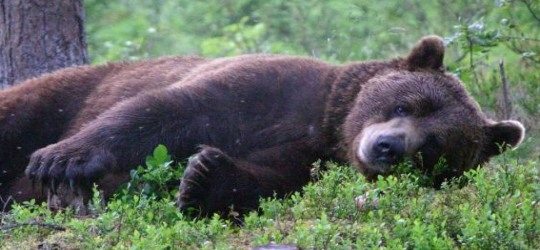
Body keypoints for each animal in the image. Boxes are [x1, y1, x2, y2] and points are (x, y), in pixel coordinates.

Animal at [0, 34, 524, 215]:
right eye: (405, 104)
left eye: (433, 149)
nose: (388, 148)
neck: (329, 124)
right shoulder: (271, 91)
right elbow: (169, 109)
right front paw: (62, 160)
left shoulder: (310, 155)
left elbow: (267, 179)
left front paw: (201, 177)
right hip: (56, 95)